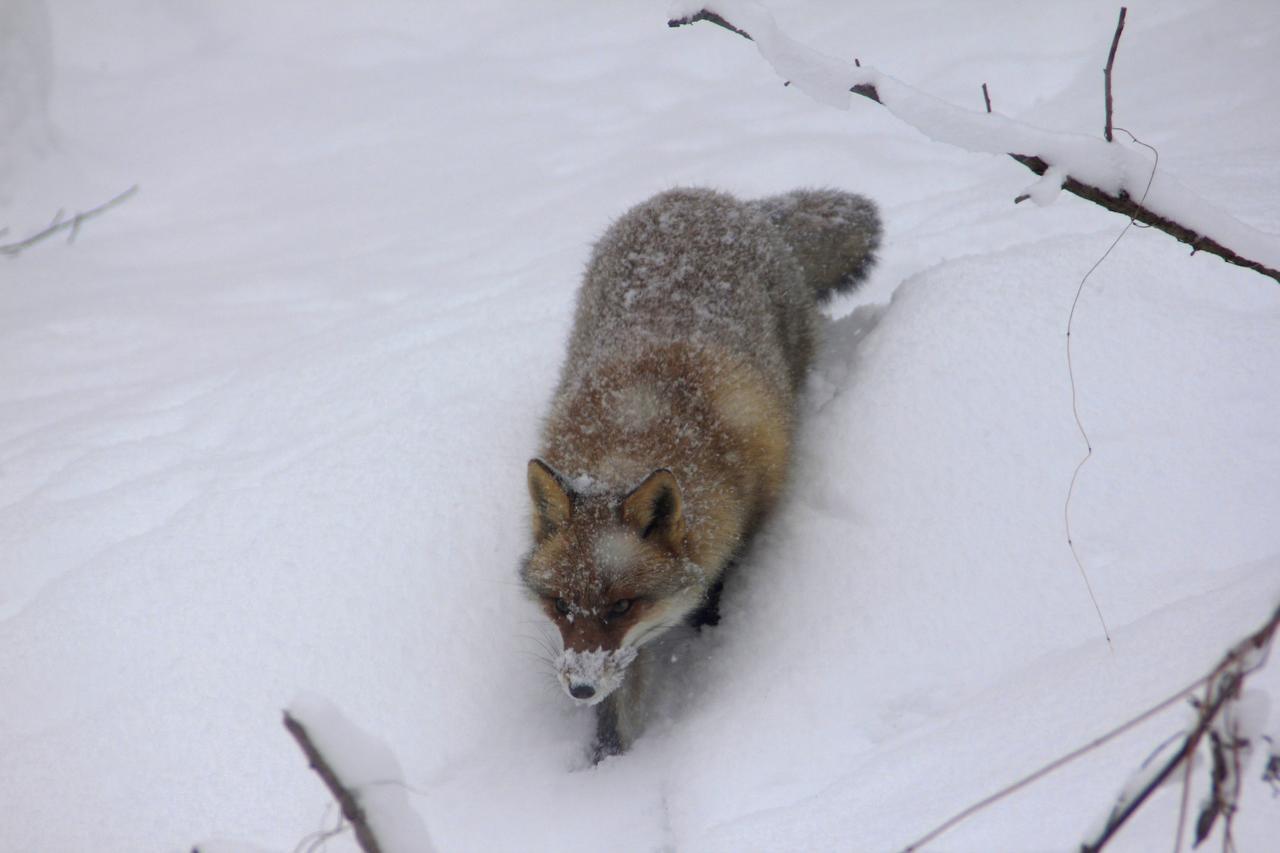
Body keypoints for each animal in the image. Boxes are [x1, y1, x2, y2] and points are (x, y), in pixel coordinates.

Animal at [519, 185, 880, 758]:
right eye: (560, 605)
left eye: (622, 606)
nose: (580, 688)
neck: (635, 427)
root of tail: (717, 198)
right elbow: (618, 707)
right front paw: (608, 763)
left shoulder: (746, 517)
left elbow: (716, 588)